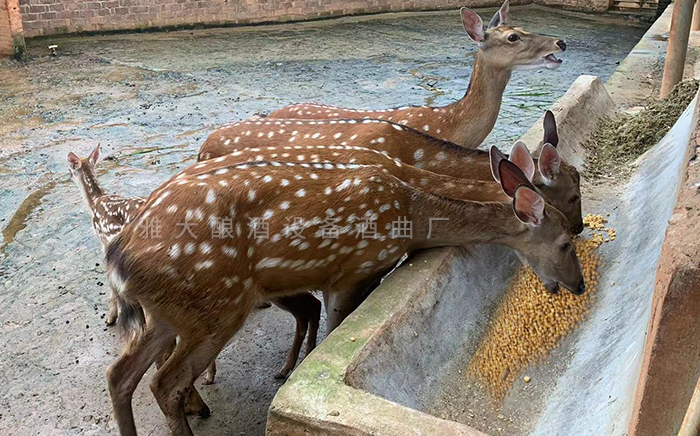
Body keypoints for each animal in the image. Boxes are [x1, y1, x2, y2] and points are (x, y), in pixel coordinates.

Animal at [104, 148, 584, 436]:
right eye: (565, 243)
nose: (578, 286)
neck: (411, 213)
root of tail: (118, 256)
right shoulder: (350, 271)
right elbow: (333, 329)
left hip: (170, 313)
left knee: (120, 375)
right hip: (217, 305)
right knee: (164, 382)